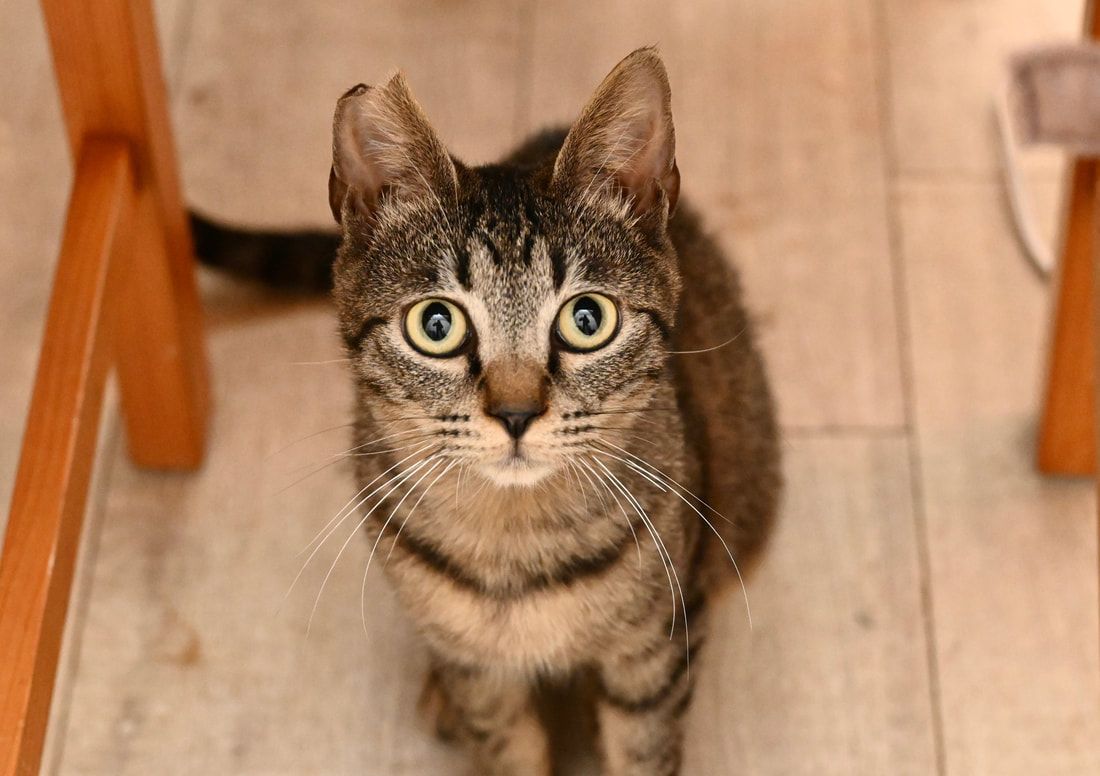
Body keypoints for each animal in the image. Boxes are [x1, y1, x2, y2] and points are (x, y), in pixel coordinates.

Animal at [198, 46, 783, 774]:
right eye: (436, 324)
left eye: (588, 319)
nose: (515, 413)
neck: (514, 544)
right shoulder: (477, 672)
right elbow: (506, 744)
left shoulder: (656, 650)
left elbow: (642, 749)